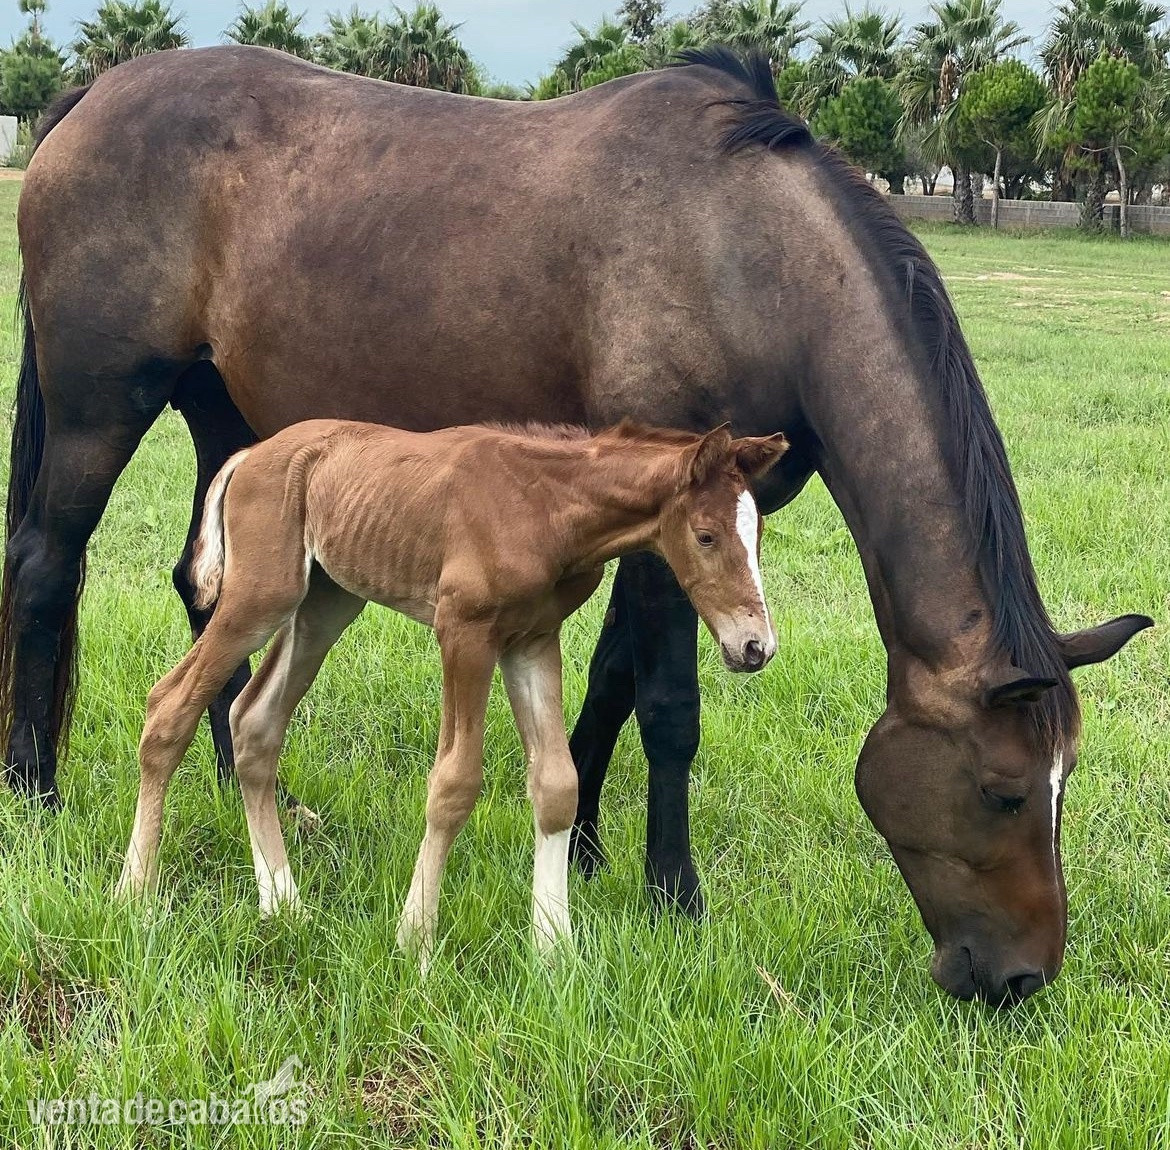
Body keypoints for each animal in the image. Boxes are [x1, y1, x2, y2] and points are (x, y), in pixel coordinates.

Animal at [117, 419, 788, 963]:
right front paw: (414, 939)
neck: (546, 504)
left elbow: (557, 785)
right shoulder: (463, 632)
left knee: (254, 722)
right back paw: (136, 892)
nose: (755, 646)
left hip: (325, 603)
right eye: (705, 536)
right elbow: (454, 783)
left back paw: (282, 903)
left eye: (757, 536)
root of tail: (251, 454)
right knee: (170, 705)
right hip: (261, 594)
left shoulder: (532, 639)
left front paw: (555, 950)